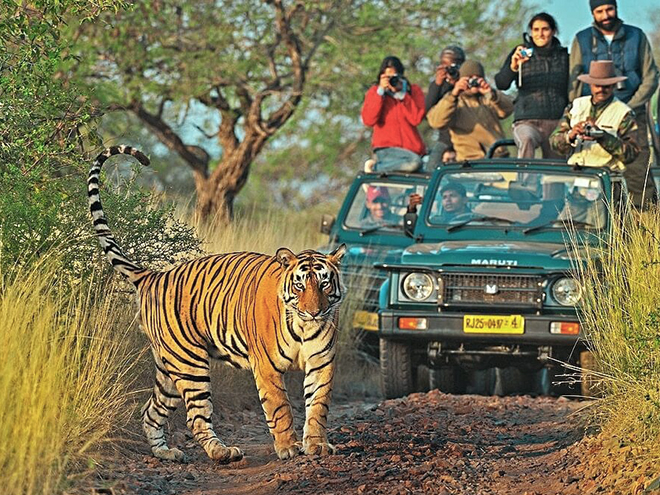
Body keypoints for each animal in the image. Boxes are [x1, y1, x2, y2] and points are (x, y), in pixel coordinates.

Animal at [88, 145, 348, 464]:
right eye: (300, 285)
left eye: (324, 284)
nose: (314, 311)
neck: (303, 326)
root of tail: (154, 275)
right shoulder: (267, 367)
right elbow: (280, 408)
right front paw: (288, 447)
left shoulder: (321, 361)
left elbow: (318, 405)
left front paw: (317, 445)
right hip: (189, 363)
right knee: (196, 417)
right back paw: (222, 452)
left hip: (168, 368)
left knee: (151, 412)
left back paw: (167, 453)